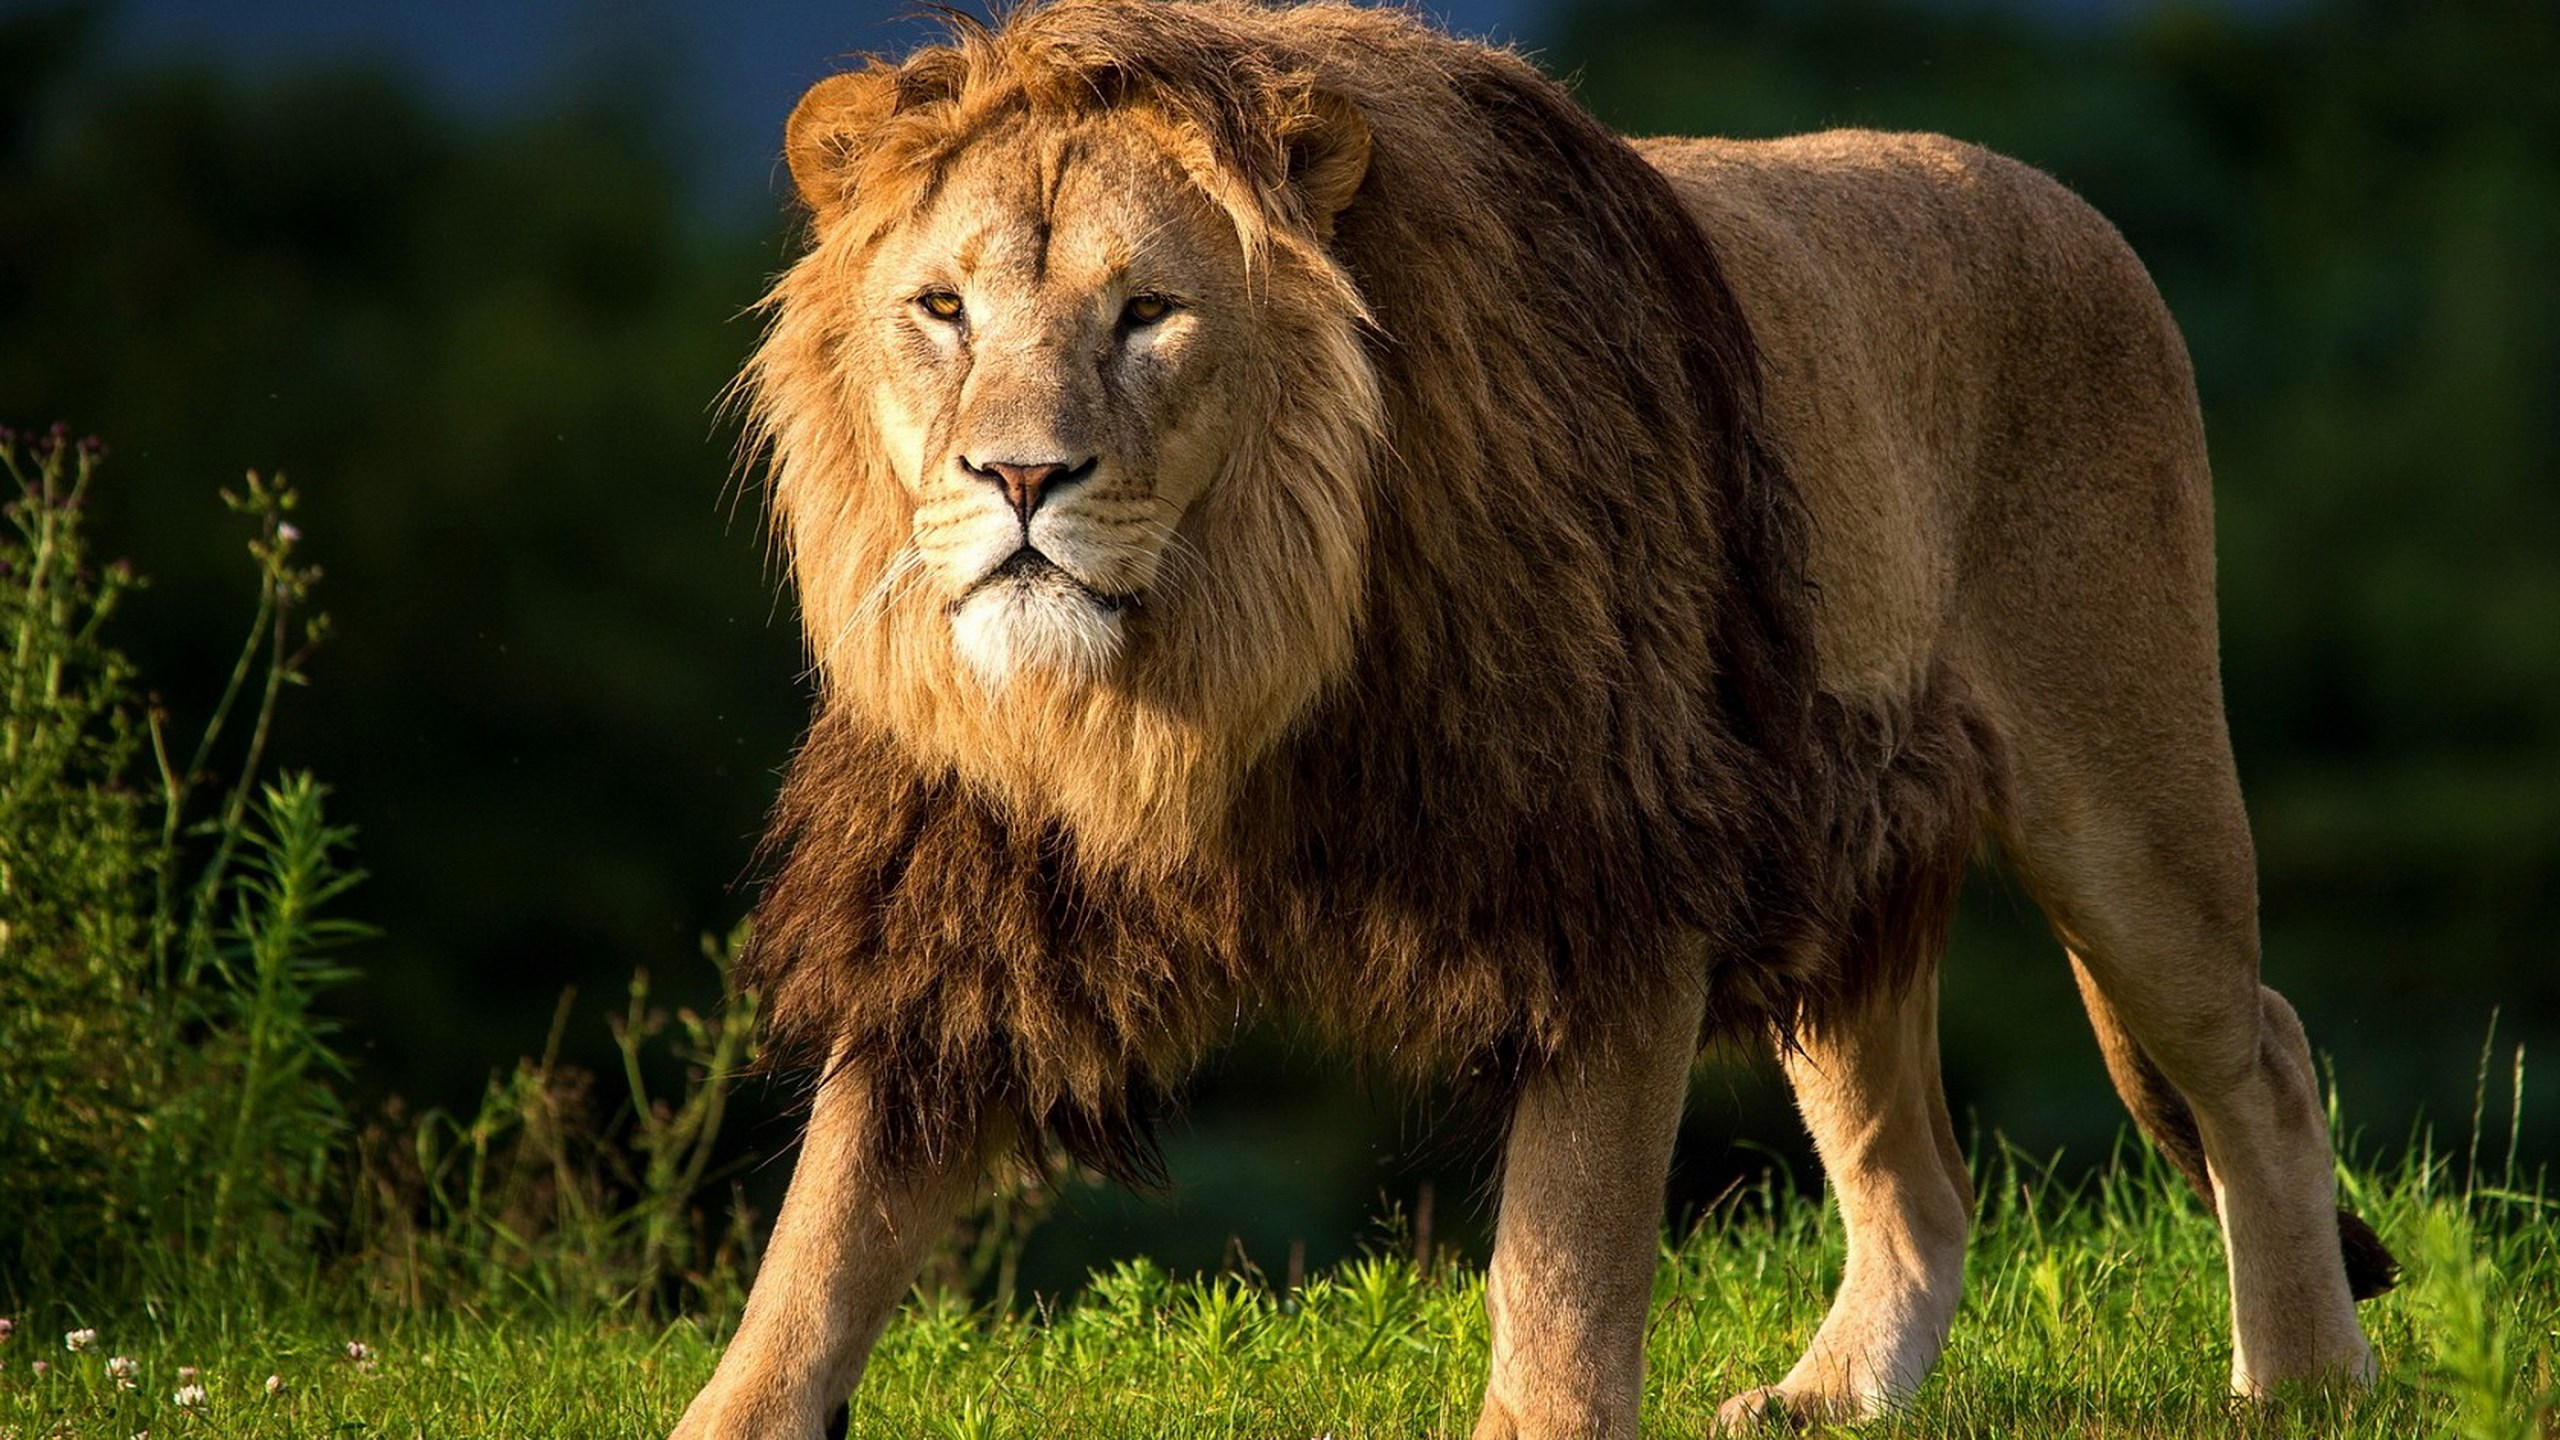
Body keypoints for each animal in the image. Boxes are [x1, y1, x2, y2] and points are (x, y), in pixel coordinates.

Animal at [670, 4, 2396, 1436]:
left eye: (1149, 312)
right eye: (942, 309)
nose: (1020, 478)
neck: (1204, 672)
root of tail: (2061, 198)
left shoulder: (1607, 867)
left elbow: (1564, 1263)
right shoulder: (964, 893)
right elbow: (822, 1239)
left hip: (2128, 800)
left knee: (2260, 1053)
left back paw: (2305, 1385)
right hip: (1838, 843)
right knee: (1918, 1171)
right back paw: (1831, 1399)